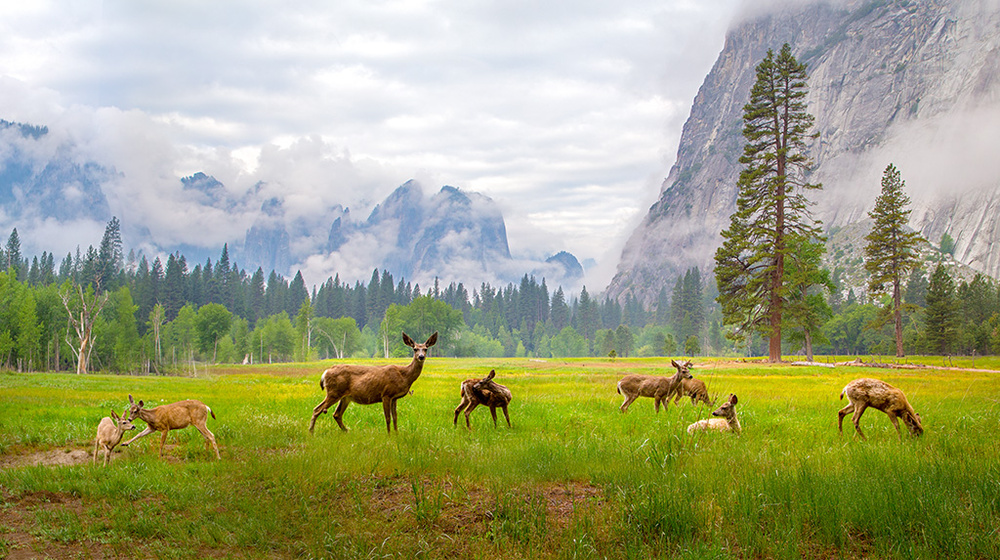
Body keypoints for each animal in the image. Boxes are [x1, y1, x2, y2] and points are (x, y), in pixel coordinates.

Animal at [309, 331, 438, 434]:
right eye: (415, 349)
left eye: (425, 349)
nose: (421, 356)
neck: (404, 376)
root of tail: (325, 372)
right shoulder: (386, 394)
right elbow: (388, 418)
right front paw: (389, 436)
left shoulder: (394, 398)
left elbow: (395, 418)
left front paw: (397, 434)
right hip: (334, 392)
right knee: (317, 410)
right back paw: (311, 432)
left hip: (345, 397)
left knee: (336, 414)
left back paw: (347, 431)